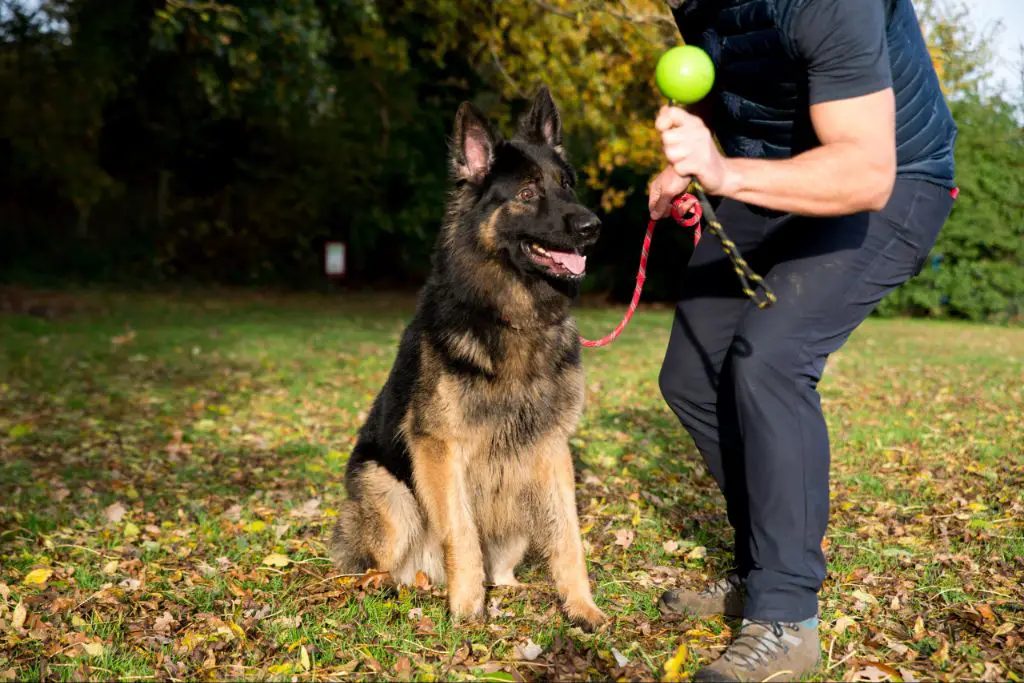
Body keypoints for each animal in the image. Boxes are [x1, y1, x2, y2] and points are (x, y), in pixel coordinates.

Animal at [331, 88, 606, 634]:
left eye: (566, 185)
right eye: (527, 193)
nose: (593, 227)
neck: (513, 319)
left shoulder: (550, 448)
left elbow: (568, 536)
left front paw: (580, 606)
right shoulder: (438, 448)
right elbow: (460, 532)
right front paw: (465, 607)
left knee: (500, 564)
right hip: (390, 495)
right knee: (379, 564)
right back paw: (394, 584)